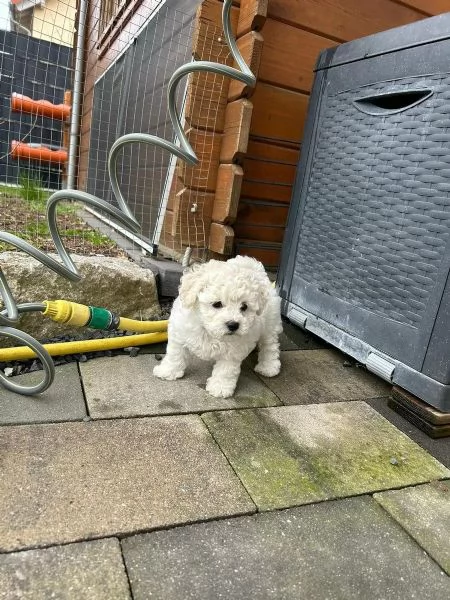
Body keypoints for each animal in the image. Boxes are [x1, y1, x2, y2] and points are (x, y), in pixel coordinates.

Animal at [154, 254, 282, 398]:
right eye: (217, 304)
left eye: (244, 307)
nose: (233, 325)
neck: (209, 330)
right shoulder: (179, 332)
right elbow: (175, 354)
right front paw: (168, 371)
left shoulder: (233, 350)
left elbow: (226, 370)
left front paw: (220, 387)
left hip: (270, 325)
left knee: (270, 346)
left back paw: (268, 367)